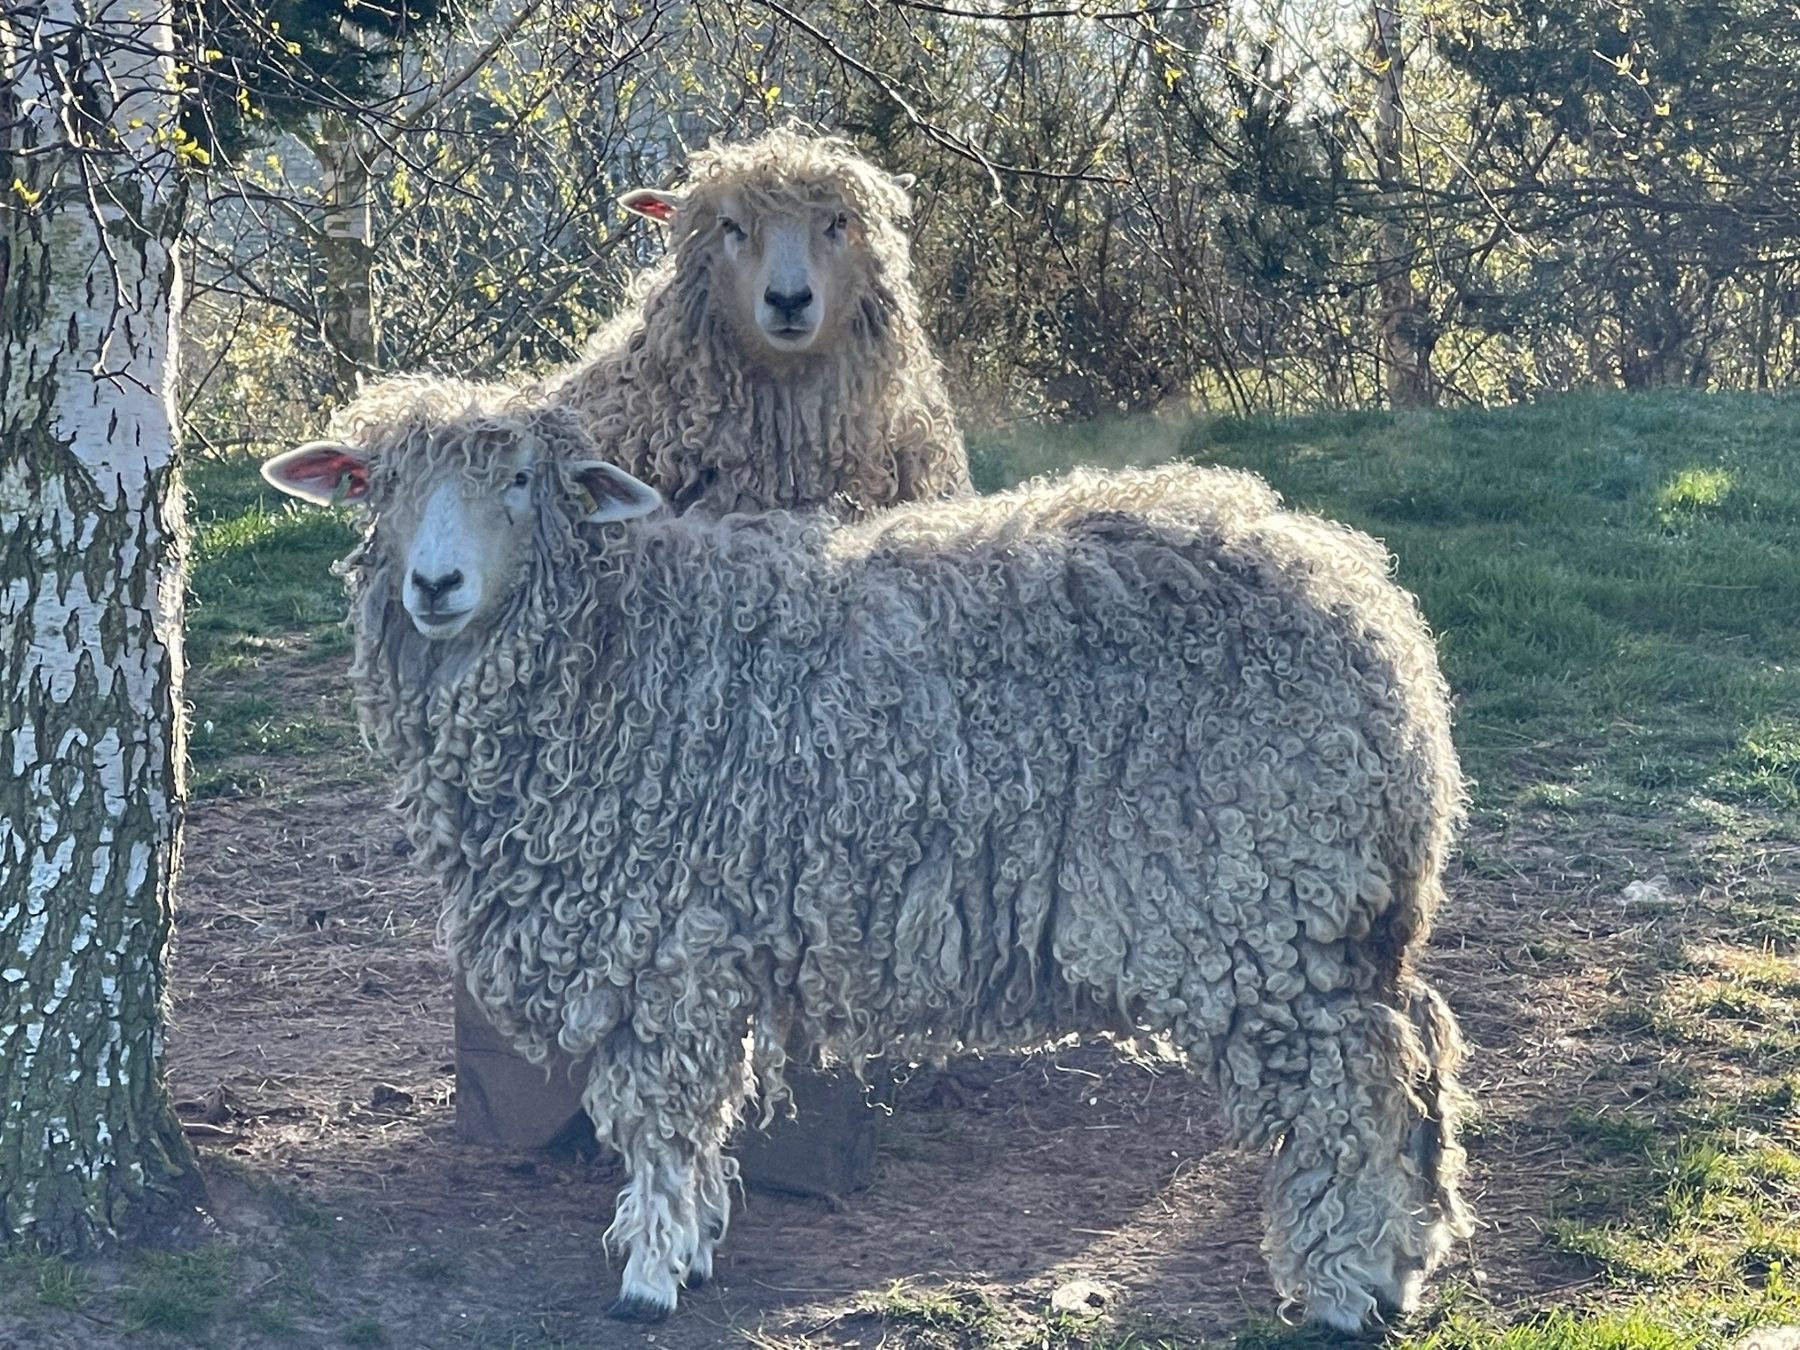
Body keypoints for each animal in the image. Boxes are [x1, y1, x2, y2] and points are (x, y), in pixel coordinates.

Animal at [263, 378, 1475, 1333]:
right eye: (379, 485)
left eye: (520, 480)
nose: (434, 587)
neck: (618, 651)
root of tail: (1375, 614)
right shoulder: (707, 937)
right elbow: (702, 1112)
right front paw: (690, 1246)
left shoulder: (663, 941)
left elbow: (660, 1116)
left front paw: (650, 1276)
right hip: (1328, 908)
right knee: (1416, 1054)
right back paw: (1402, 1263)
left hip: (1259, 903)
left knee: (1351, 1084)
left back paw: (1343, 1290)